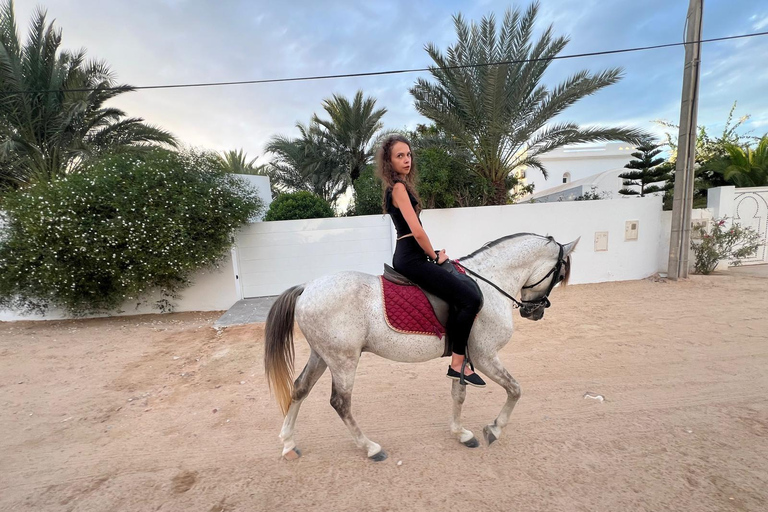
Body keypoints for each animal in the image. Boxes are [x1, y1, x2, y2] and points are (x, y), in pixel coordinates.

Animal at [264, 234, 576, 462]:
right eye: (560, 275)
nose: (535, 312)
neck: (488, 282)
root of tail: (307, 288)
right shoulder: (485, 357)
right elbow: (515, 389)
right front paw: (494, 429)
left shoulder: (464, 358)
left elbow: (459, 393)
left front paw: (461, 433)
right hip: (343, 360)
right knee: (340, 403)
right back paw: (371, 448)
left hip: (322, 355)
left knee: (299, 389)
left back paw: (288, 443)